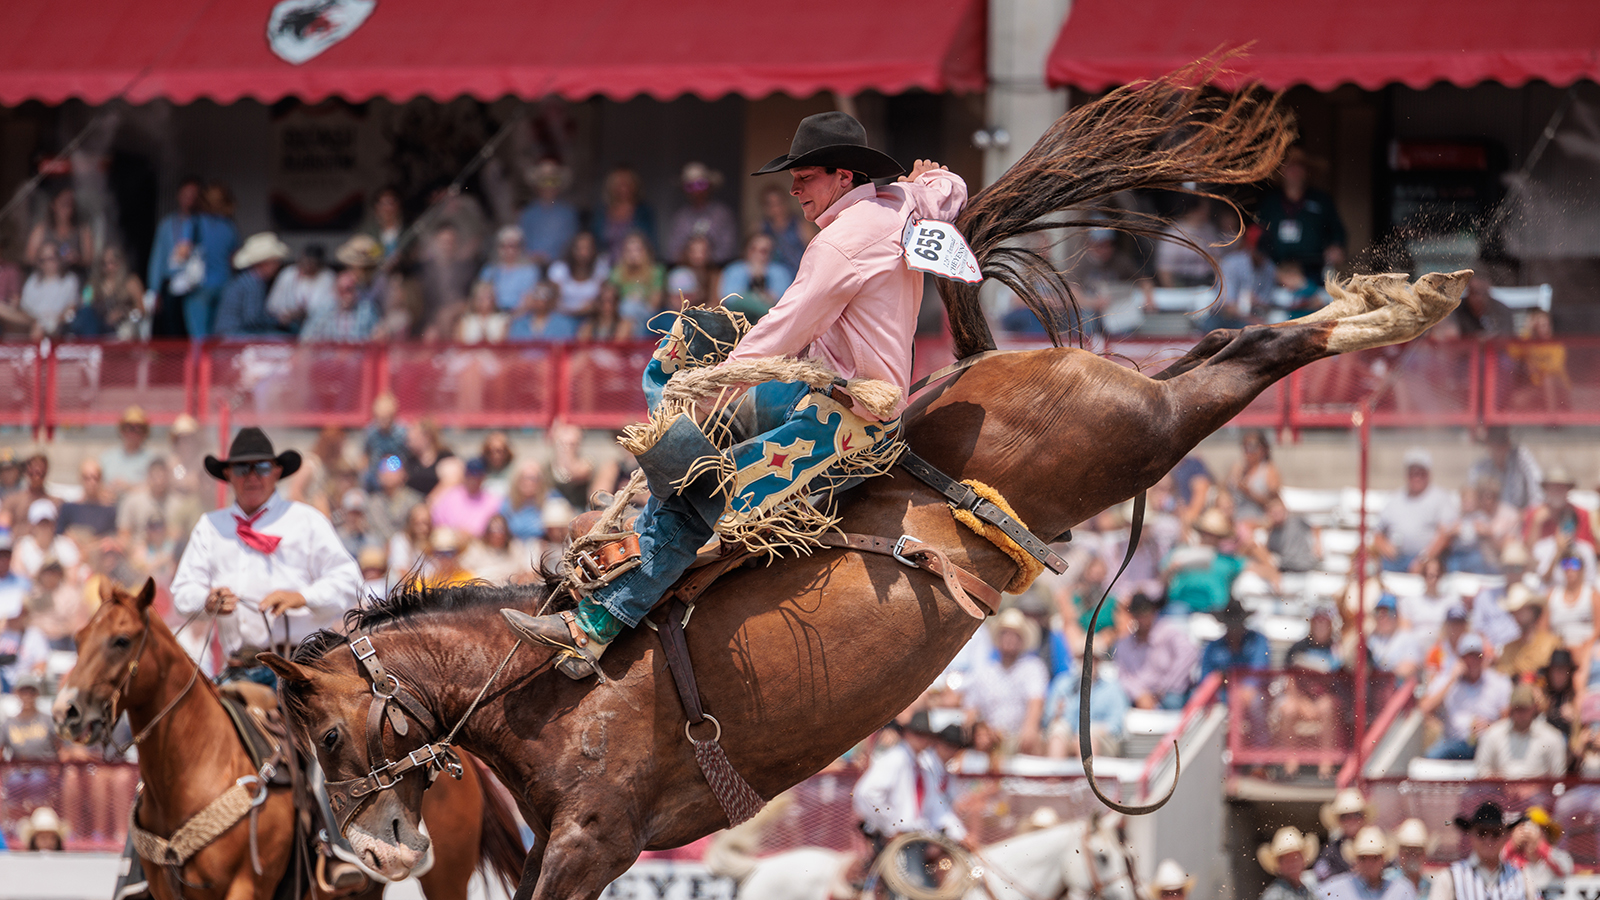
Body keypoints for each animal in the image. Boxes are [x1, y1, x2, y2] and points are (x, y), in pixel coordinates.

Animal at [51, 573, 518, 896]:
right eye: (78, 637)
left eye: (121, 639)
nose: (65, 712)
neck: (192, 771)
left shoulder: (246, 886)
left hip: (447, 877)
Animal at [256, 63, 1465, 896]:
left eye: (328, 739)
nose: (372, 855)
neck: (542, 684)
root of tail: (972, 371)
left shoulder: (594, 839)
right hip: (1129, 418)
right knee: (1220, 348)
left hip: (1136, 434)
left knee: (1251, 355)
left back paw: (1397, 303)